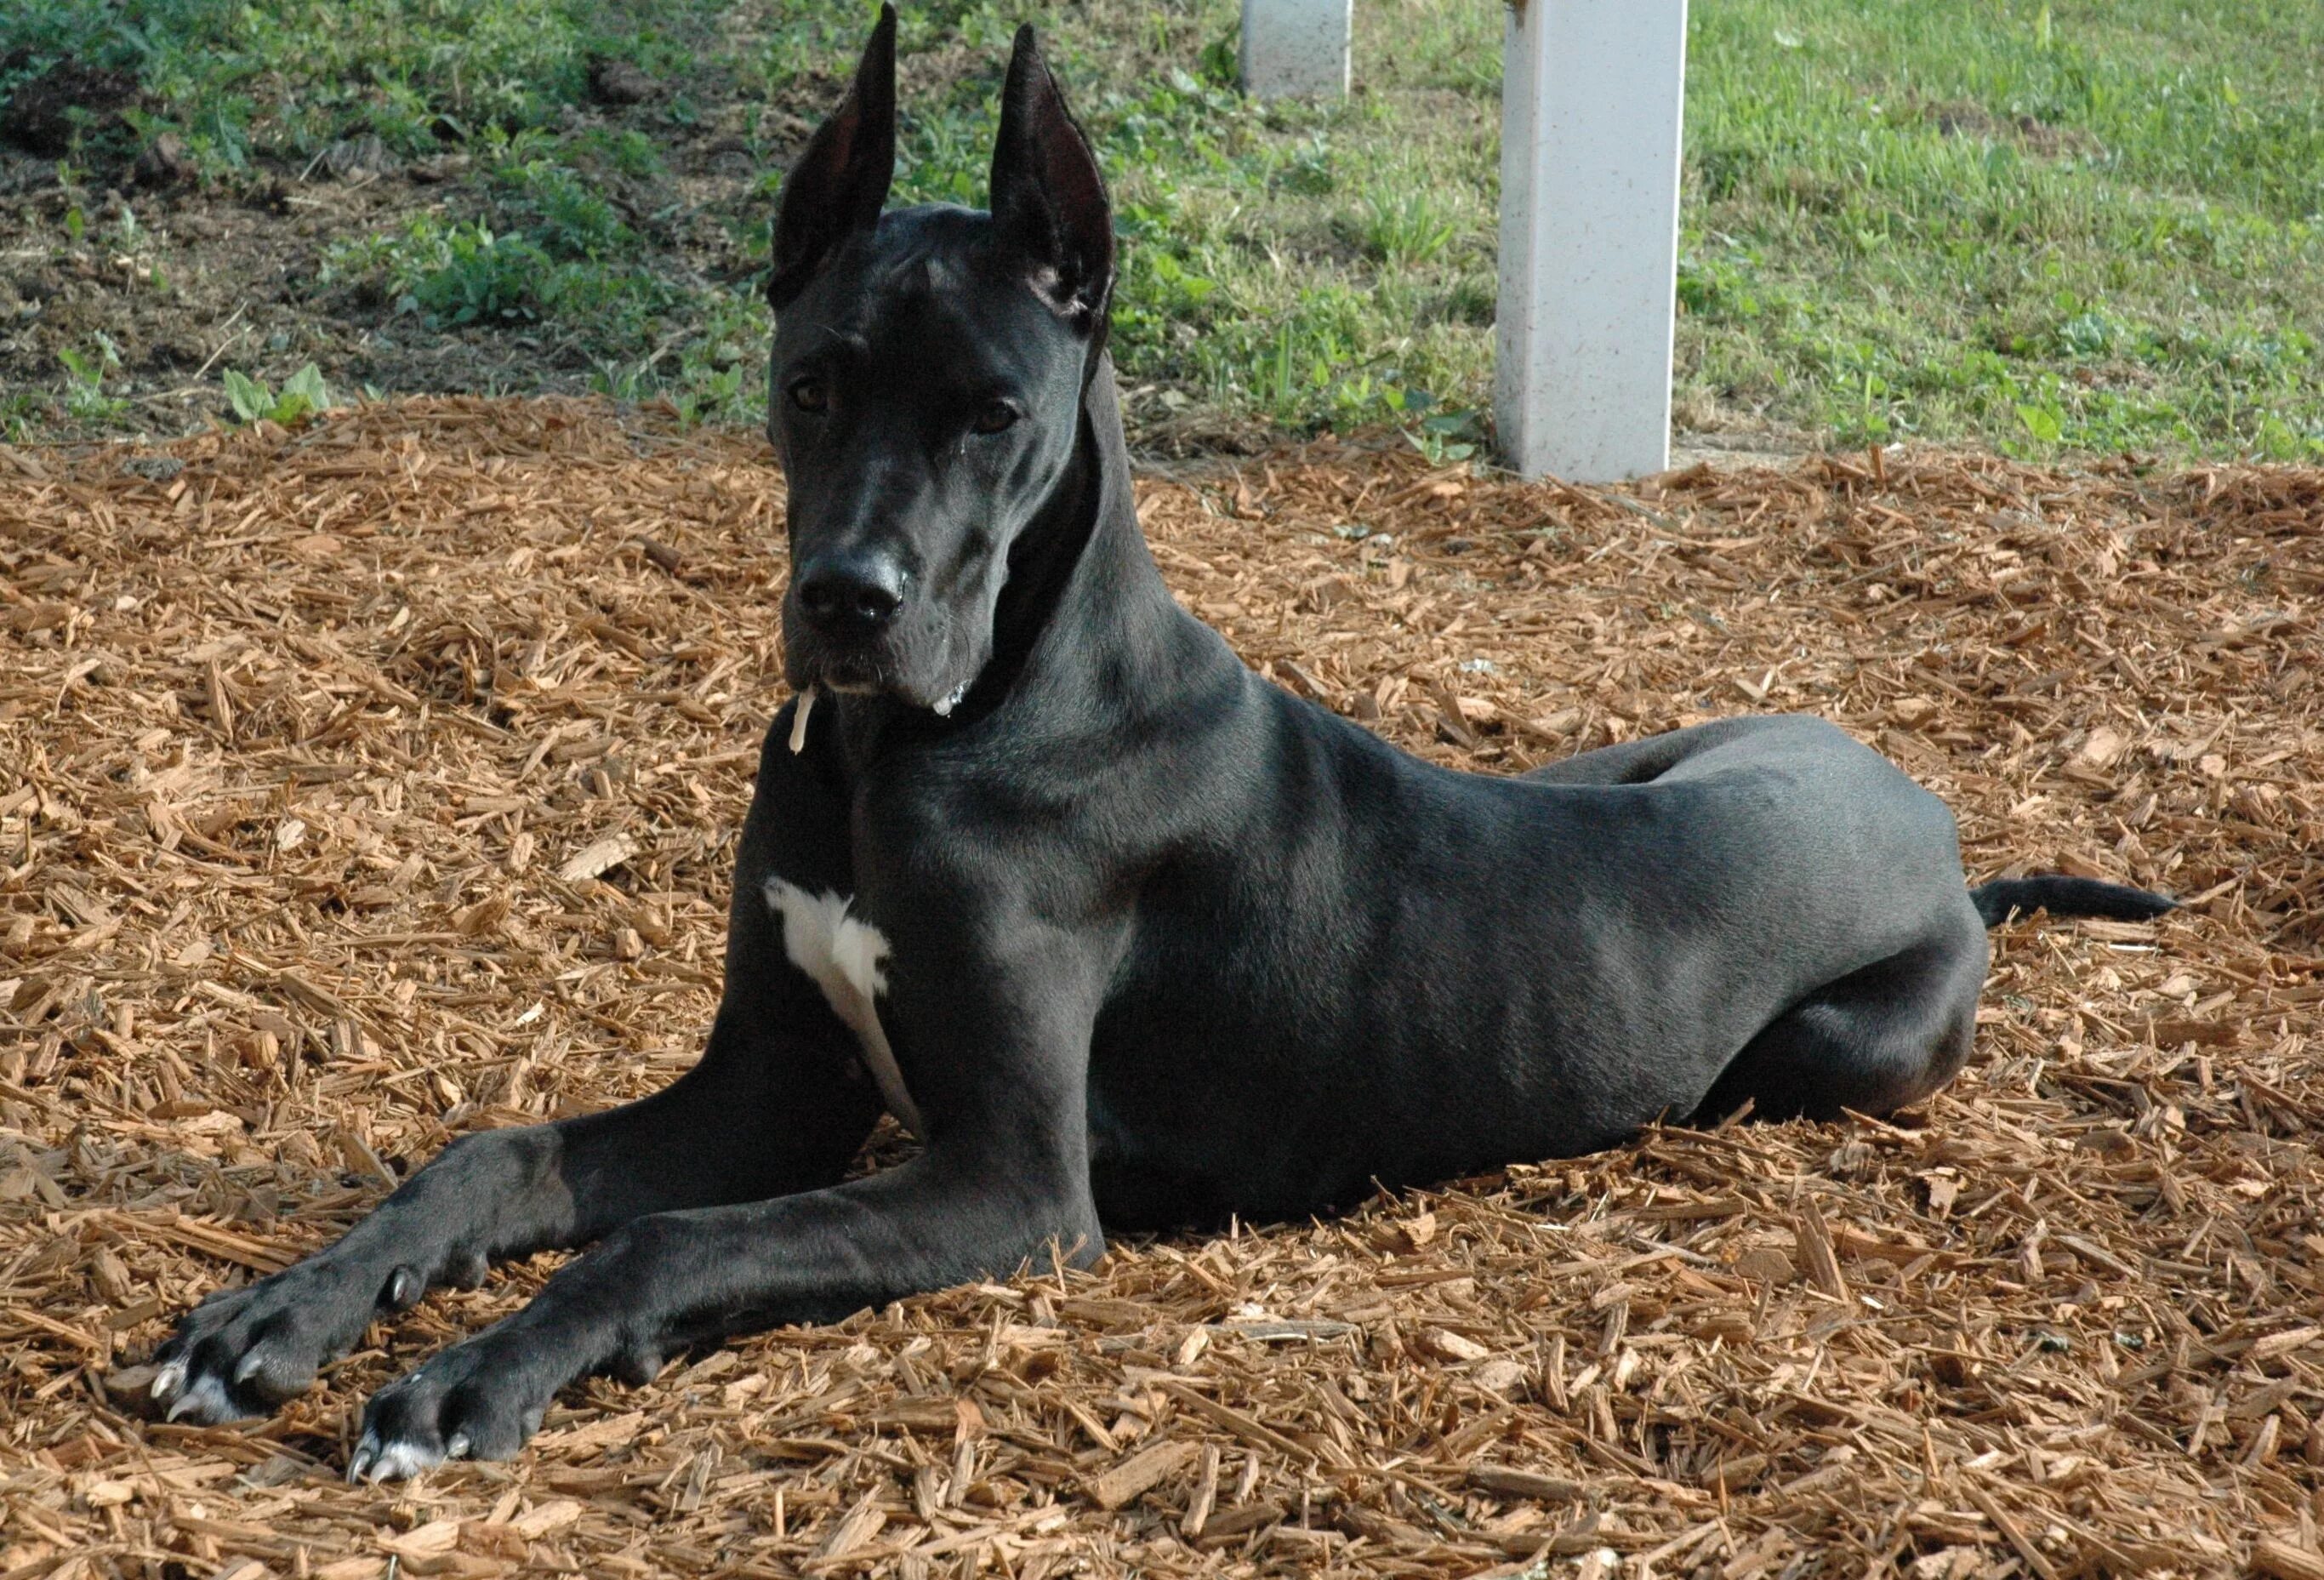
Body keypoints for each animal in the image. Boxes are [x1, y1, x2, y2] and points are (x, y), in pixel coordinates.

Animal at [154, 9, 2166, 1477]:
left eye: (991, 416)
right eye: (810, 383)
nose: (848, 600)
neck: (923, 740)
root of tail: (1926, 815)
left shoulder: (1010, 1184)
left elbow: (666, 1241)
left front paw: (458, 1383)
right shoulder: (766, 1088)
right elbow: (490, 1157)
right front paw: (267, 1319)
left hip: (1831, 1049)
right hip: (1621, 759)